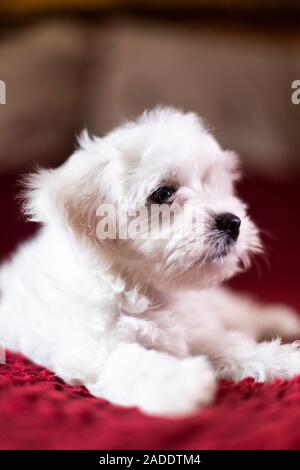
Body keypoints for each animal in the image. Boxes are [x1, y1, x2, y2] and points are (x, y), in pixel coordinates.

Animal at [0, 107, 300, 414]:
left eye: (211, 183)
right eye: (163, 193)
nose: (233, 222)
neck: (144, 287)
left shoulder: (197, 329)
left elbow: (231, 344)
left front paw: (282, 360)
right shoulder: (95, 350)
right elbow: (132, 362)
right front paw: (184, 382)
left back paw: (281, 321)